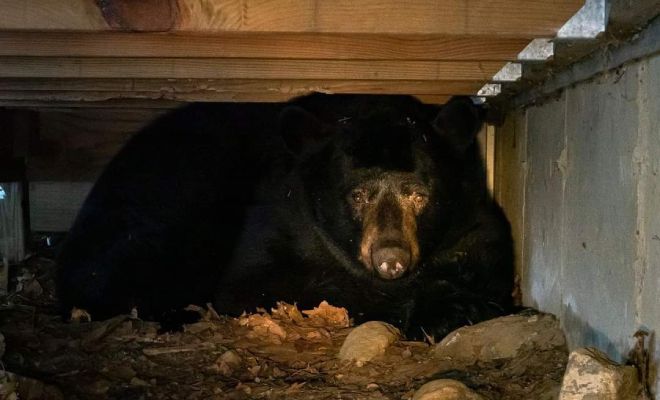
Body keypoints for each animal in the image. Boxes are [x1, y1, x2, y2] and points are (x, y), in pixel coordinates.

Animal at [55, 94, 516, 340]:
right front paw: (445, 305)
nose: (391, 258)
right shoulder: (279, 214)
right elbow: (262, 283)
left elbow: (490, 257)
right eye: (358, 195)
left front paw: (469, 298)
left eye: (419, 194)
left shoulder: (471, 217)